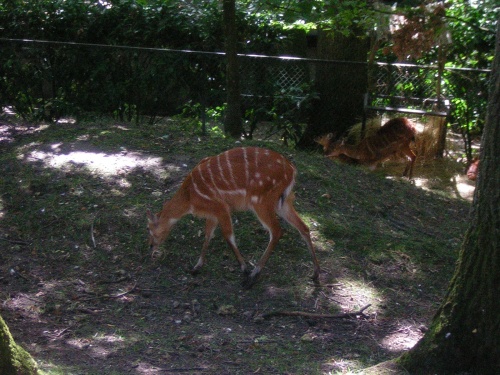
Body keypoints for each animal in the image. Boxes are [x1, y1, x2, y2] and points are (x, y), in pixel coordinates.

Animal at [148, 147, 320, 288]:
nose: (150, 246)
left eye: (150, 229)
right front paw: (196, 267)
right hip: (283, 201)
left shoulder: (221, 206)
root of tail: (292, 170)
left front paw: (244, 269)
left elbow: (228, 236)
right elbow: (208, 235)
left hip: (261, 200)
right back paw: (315, 273)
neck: (190, 198)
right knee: (303, 227)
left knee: (277, 231)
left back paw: (253, 276)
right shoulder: (212, 213)